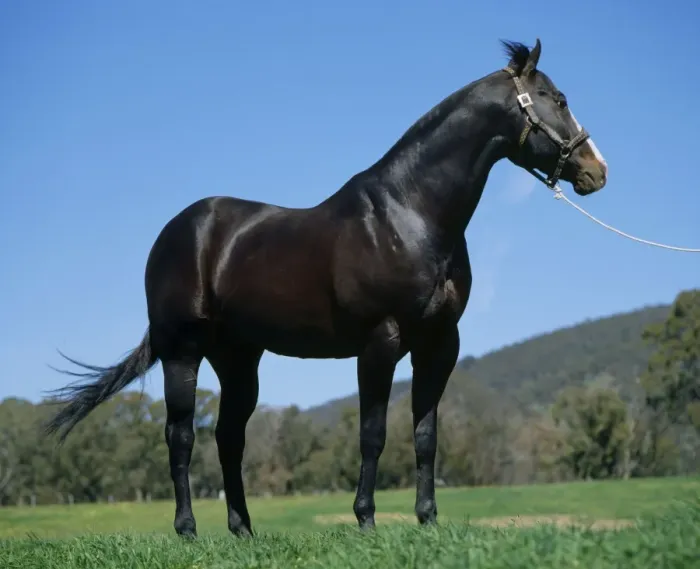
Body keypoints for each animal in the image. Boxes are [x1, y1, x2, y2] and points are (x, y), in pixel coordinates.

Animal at [45, 38, 608, 538]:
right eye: (558, 99)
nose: (596, 171)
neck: (411, 214)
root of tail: (177, 231)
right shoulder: (380, 341)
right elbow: (373, 434)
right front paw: (366, 520)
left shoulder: (439, 344)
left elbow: (426, 435)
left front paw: (427, 520)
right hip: (181, 351)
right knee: (180, 437)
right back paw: (187, 530)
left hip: (238, 359)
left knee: (229, 439)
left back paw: (243, 530)